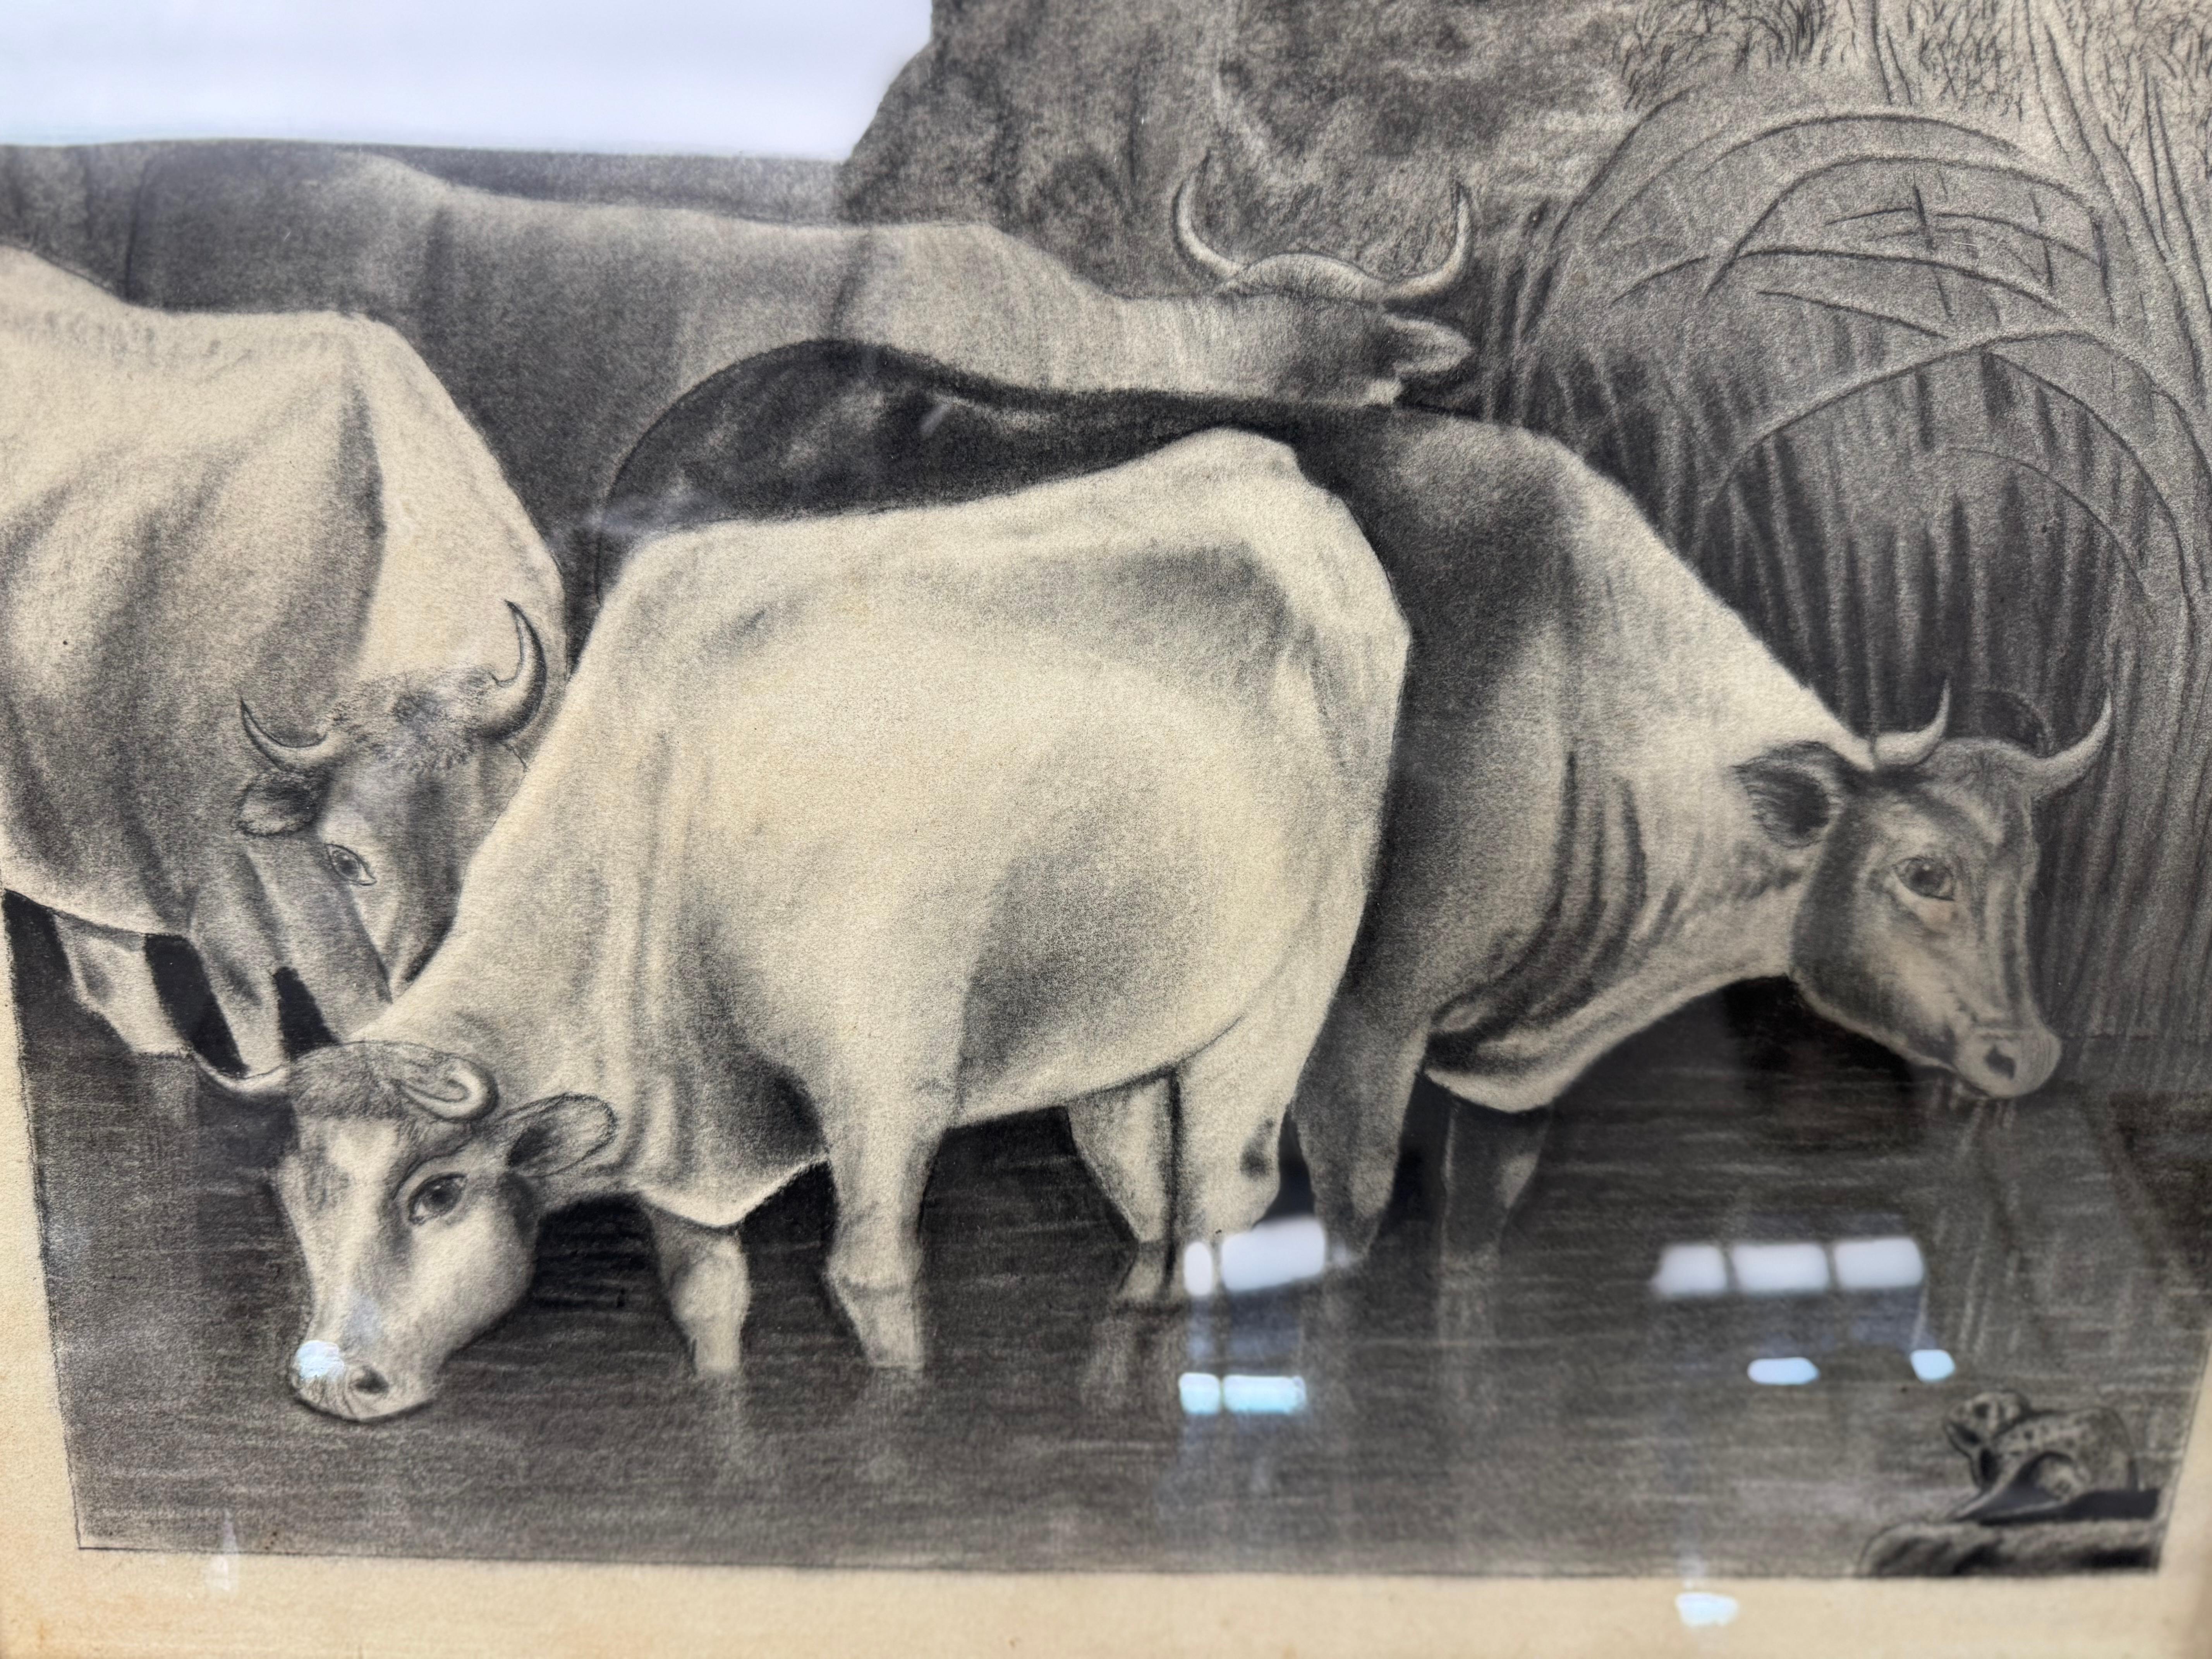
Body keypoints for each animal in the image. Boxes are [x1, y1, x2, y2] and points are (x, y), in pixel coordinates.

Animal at [198, 431, 1409, 1420]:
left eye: (437, 1191)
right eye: (300, 1189)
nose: (329, 1379)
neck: (674, 801)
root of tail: (1286, 487)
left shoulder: (886, 1101)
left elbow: (870, 1277)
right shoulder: (682, 1148)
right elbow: (707, 1299)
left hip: (1281, 996)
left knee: (1222, 1196)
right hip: (1116, 1040)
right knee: (1145, 1199)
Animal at [591, 340, 2114, 1263]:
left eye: (2032, 874)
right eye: (1924, 872)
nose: (2027, 1053)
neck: (1581, 702)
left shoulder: (1502, 1085)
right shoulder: (1358, 1035)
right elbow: (1345, 1233)